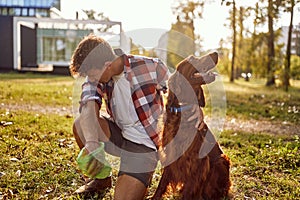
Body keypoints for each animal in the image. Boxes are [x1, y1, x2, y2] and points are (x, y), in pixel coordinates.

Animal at [152, 52, 232, 199]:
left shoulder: (197, 162)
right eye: (193, 59)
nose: (216, 53)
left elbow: (189, 189)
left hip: (221, 161)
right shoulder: (171, 153)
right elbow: (161, 184)